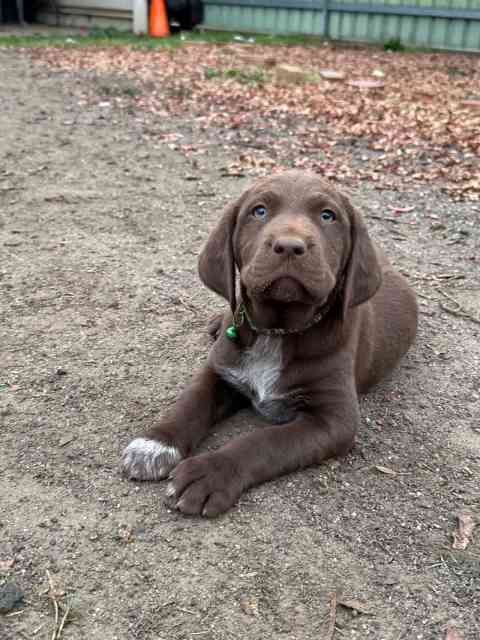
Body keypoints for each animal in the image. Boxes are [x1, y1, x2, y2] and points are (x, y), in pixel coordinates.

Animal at [122, 172, 418, 516]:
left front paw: (210, 472)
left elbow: (264, 442)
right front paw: (155, 444)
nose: (289, 246)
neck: (277, 331)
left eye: (327, 216)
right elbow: (191, 401)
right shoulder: (220, 369)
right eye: (259, 211)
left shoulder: (335, 419)